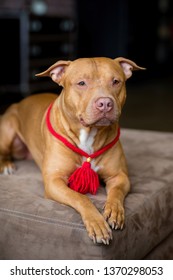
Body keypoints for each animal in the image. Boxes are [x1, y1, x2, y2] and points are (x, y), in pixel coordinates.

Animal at [0, 57, 144, 245]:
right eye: (81, 83)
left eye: (115, 81)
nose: (105, 103)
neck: (89, 135)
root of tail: (20, 102)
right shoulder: (54, 182)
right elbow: (80, 197)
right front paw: (97, 223)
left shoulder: (119, 176)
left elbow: (116, 193)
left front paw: (114, 210)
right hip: (9, 127)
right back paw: (6, 165)